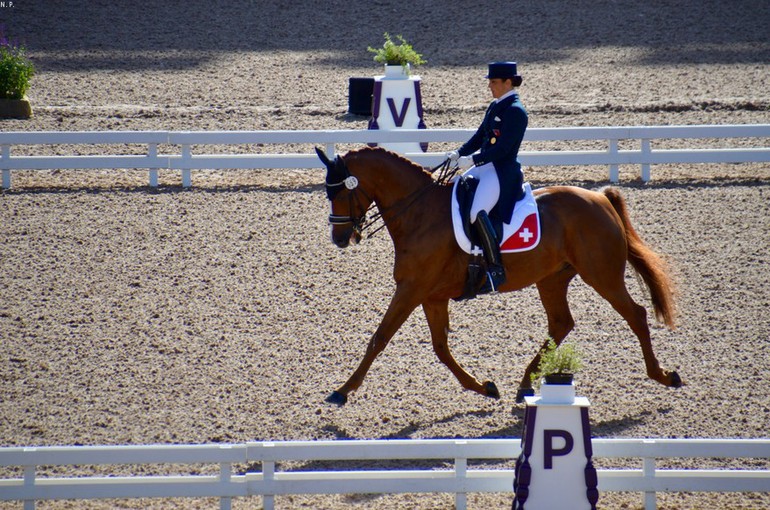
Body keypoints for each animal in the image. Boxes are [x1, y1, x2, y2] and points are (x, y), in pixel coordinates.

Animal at [312, 145, 680, 404]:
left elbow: (380, 338)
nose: (339, 238)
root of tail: (600, 198)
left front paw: (342, 390)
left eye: (340, 191)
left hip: (601, 274)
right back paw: (525, 384)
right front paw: (484, 387)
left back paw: (663, 375)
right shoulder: (431, 296)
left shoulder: (411, 290)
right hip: (552, 278)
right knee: (561, 324)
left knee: (636, 314)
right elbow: (440, 347)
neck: (419, 213)